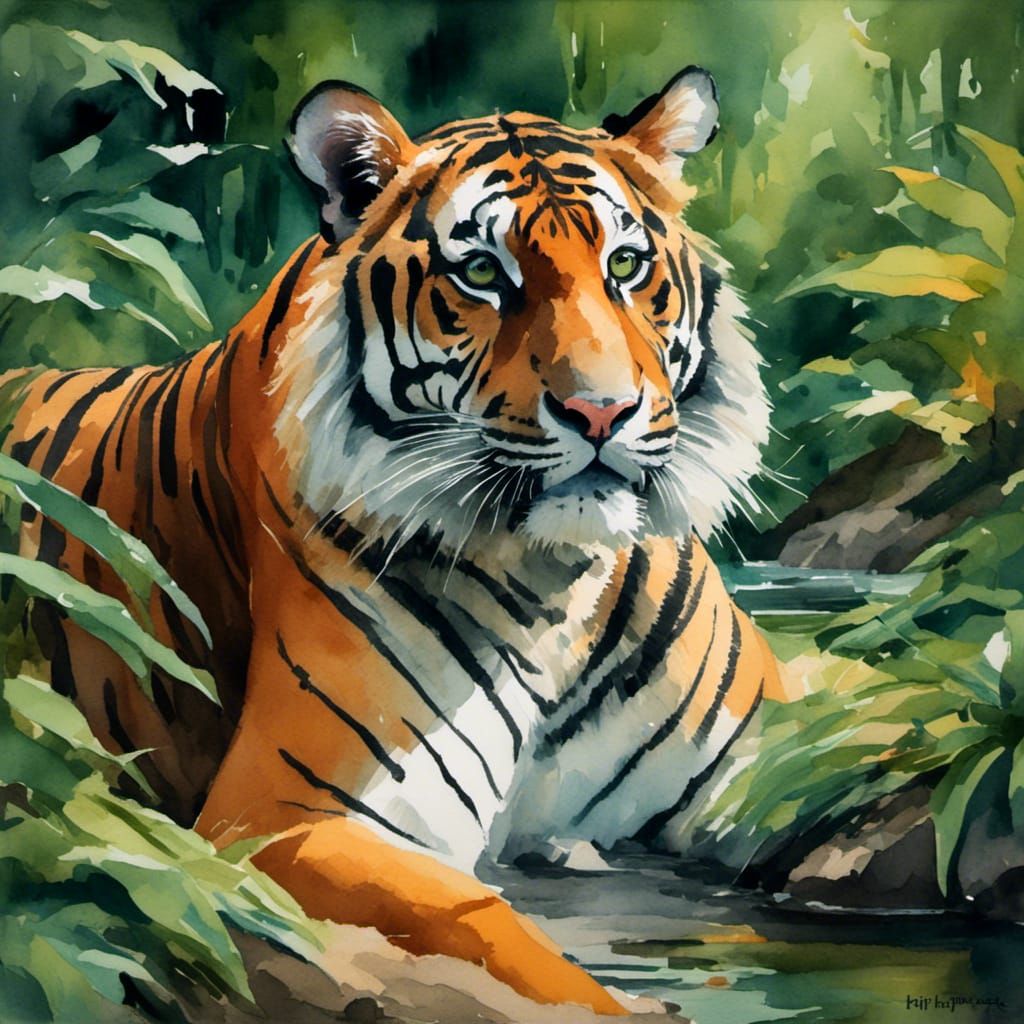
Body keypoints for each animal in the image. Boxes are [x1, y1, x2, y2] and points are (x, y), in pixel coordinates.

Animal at [3, 67, 782, 1015]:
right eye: (482, 273)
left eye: (625, 268)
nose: (601, 413)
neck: (560, 579)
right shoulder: (286, 814)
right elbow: (489, 924)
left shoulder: (762, 762)